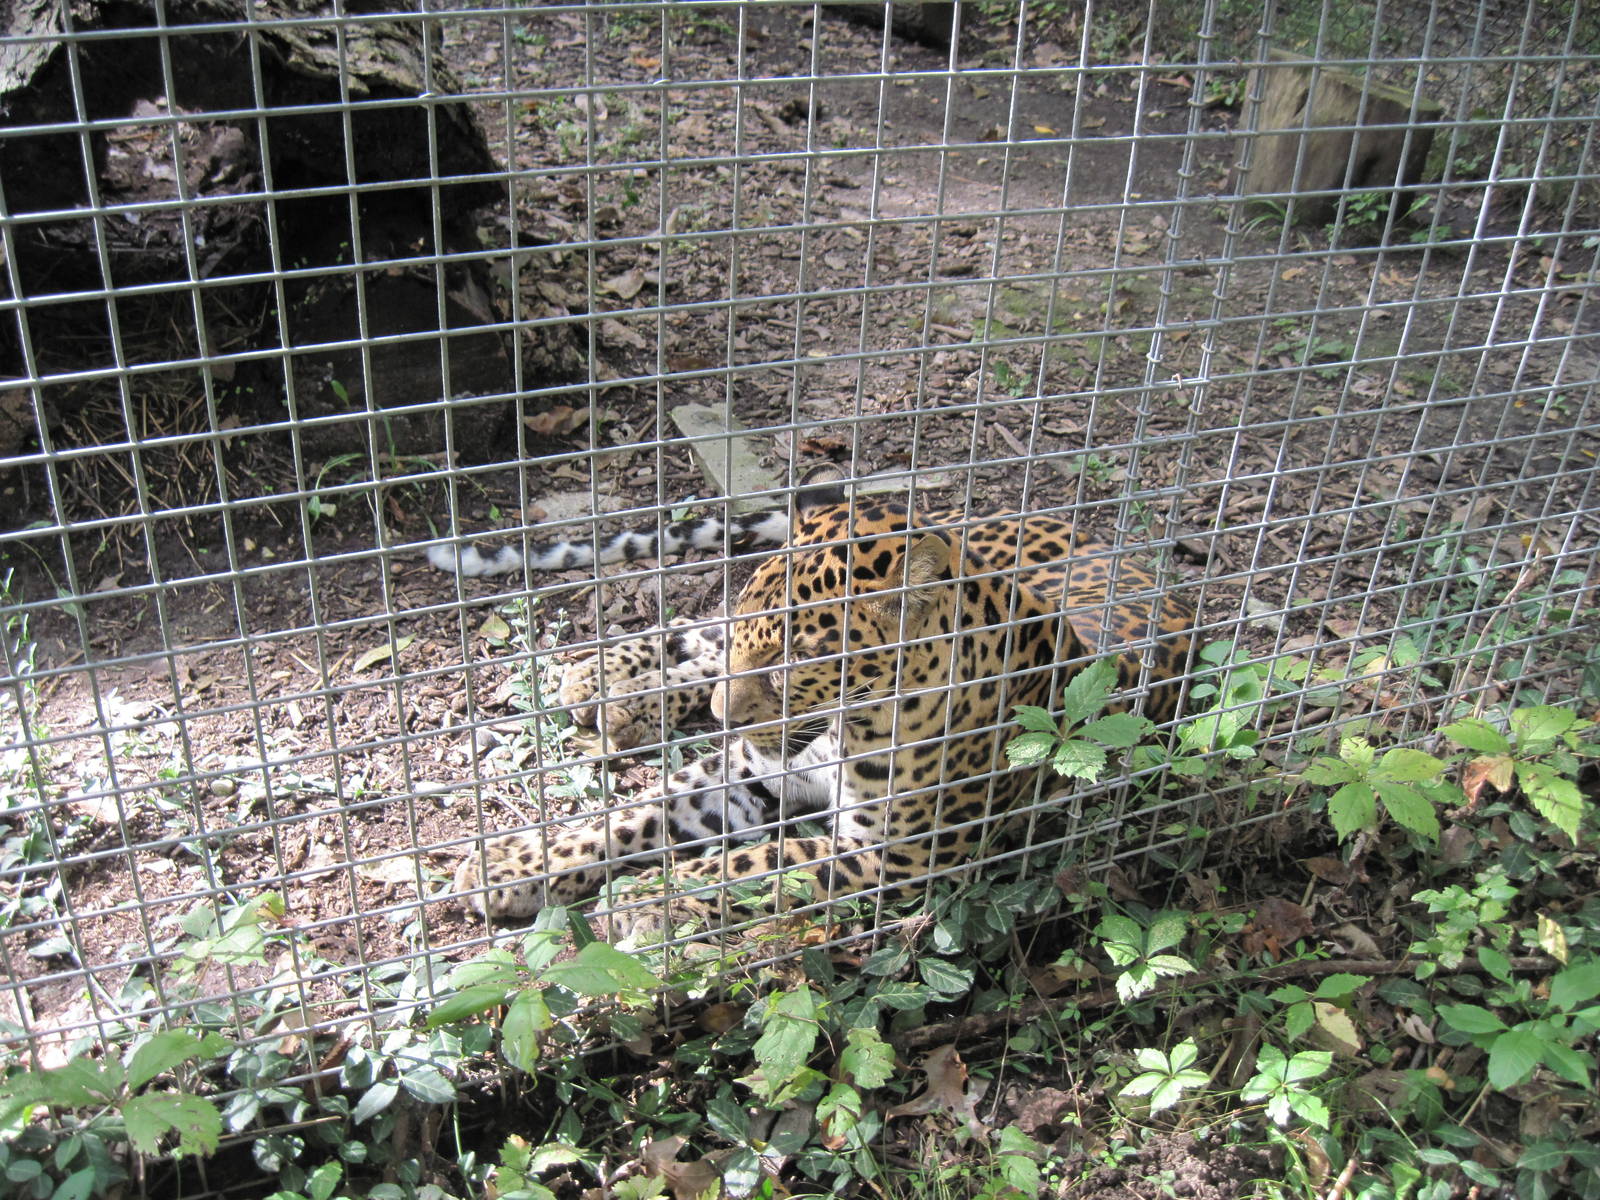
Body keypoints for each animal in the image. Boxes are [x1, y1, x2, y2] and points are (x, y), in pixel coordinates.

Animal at [438, 488, 1194, 924]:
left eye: (793, 662)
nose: (726, 721)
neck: (850, 725)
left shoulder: (894, 857)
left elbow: (759, 861)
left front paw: (649, 901)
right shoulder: (745, 775)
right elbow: (630, 817)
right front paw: (510, 867)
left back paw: (622, 701)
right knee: (696, 635)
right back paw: (603, 681)